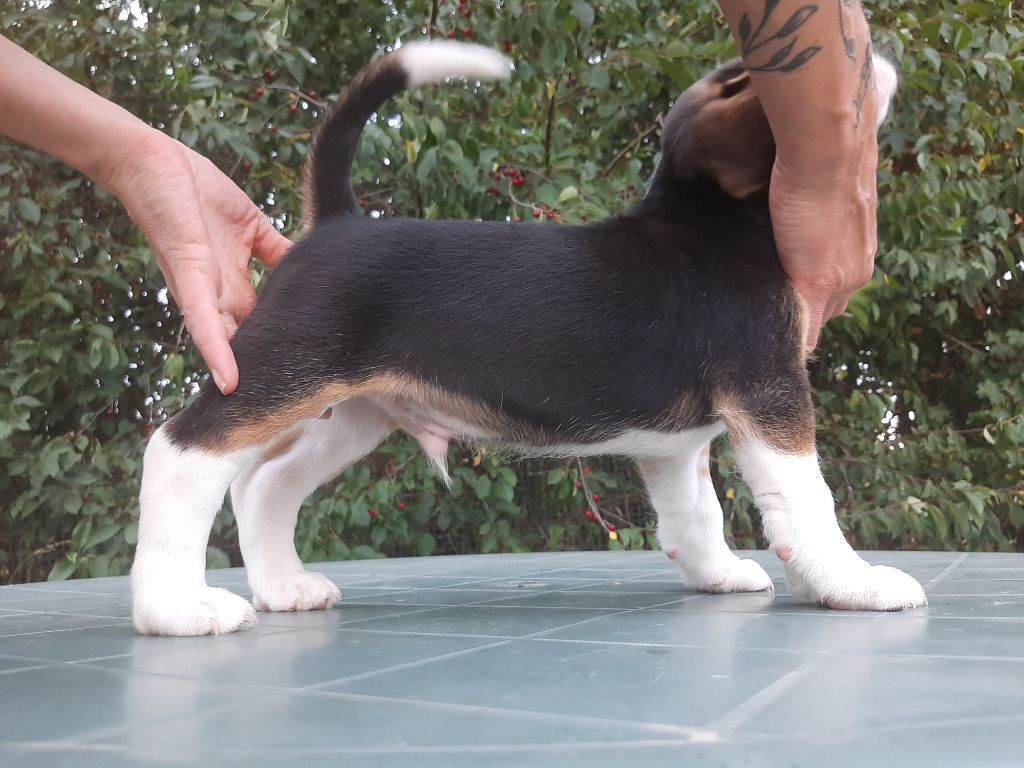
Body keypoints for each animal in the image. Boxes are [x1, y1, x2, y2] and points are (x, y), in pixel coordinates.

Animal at [131, 40, 924, 636]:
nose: (872, 53)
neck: (708, 215)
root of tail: (337, 222)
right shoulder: (770, 392)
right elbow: (809, 501)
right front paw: (855, 582)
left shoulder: (677, 442)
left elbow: (696, 512)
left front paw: (719, 574)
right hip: (279, 375)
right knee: (181, 455)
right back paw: (174, 607)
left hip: (355, 411)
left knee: (265, 485)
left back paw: (284, 588)